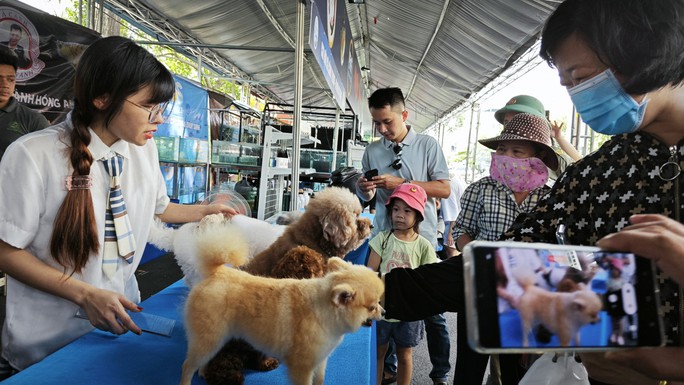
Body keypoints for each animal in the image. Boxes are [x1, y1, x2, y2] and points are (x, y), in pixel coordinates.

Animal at [178, 214, 384, 384]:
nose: (384, 312)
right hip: (210, 338)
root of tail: (216, 272)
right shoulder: (302, 367)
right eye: (372, 307)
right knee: (188, 366)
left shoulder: (320, 361)